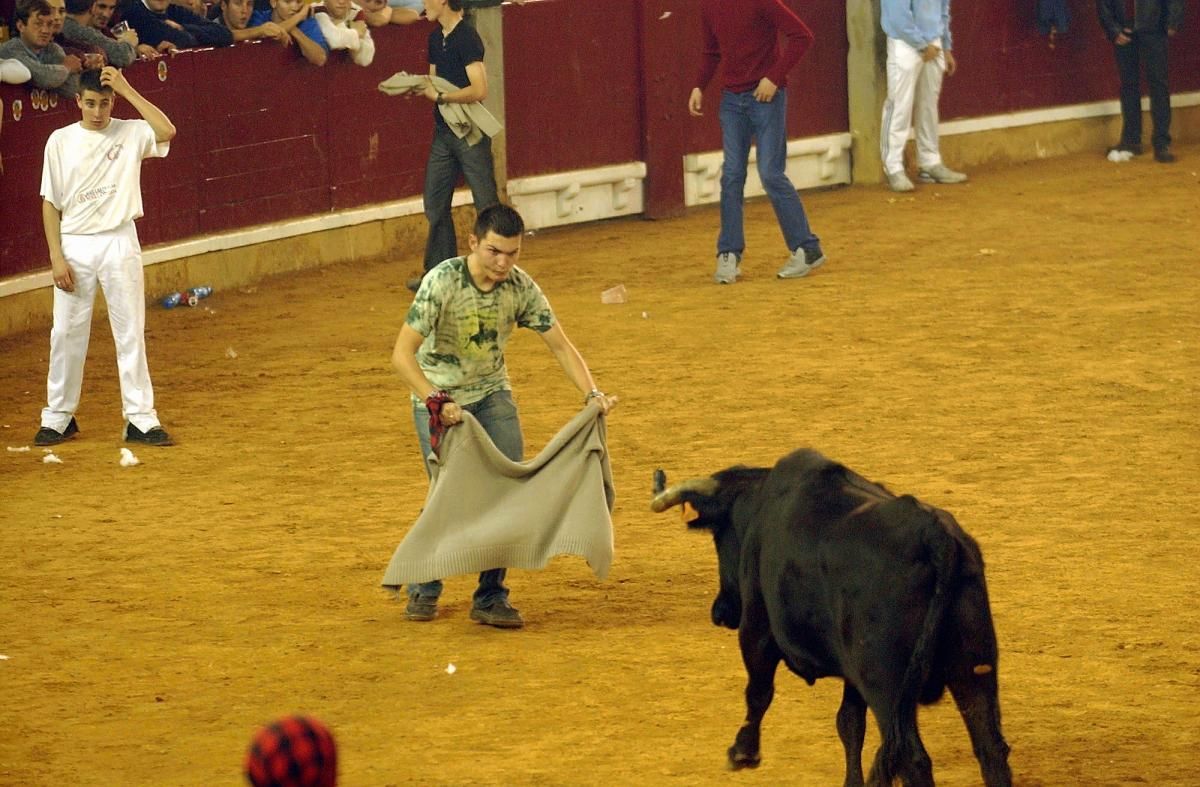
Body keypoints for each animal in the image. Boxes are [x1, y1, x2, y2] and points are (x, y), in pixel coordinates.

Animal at [657, 448, 1012, 787]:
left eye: (719, 536)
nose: (721, 612)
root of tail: (935, 538)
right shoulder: (853, 675)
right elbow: (849, 724)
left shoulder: (756, 629)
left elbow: (758, 691)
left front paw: (743, 752)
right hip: (972, 669)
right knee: (991, 749)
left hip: (886, 685)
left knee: (913, 759)